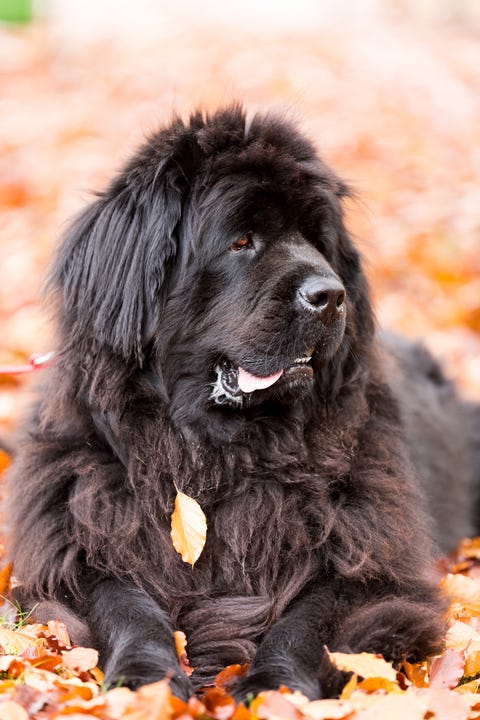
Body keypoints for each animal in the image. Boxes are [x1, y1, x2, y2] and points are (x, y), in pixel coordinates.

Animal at [8, 108, 480, 704]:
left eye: (318, 240)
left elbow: (308, 621)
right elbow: (126, 605)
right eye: (241, 241)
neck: (218, 454)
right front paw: (146, 680)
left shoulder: (368, 566)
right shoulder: (74, 556)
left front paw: (272, 688)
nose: (331, 294)